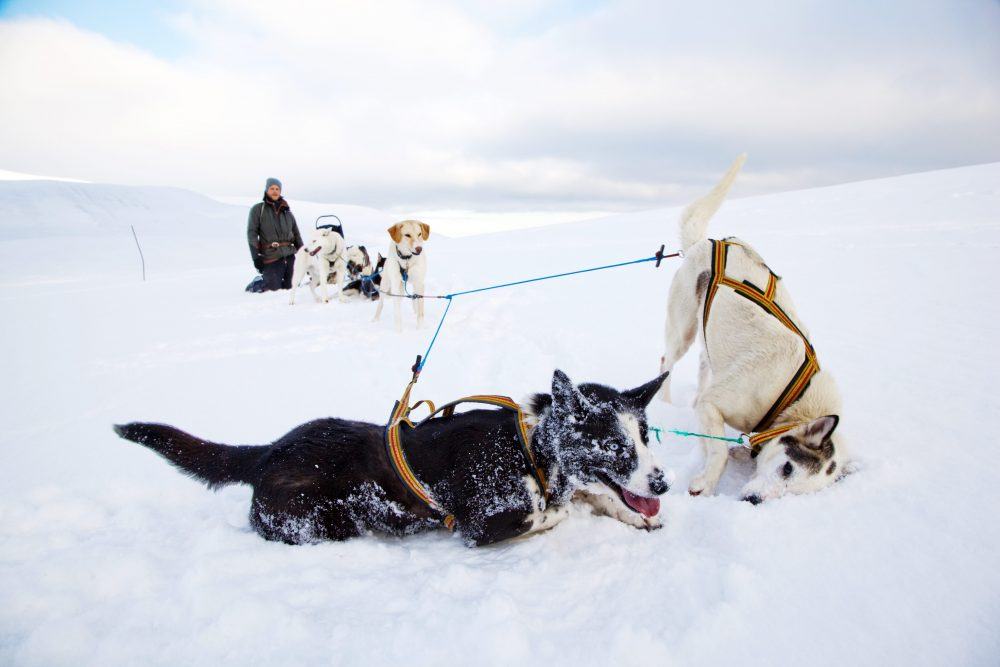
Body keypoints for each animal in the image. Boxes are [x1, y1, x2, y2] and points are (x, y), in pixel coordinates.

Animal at [660, 154, 848, 504]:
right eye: (787, 467)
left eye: (792, 493)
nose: (754, 501)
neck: (791, 399)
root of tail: (707, 241)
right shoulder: (715, 404)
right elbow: (719, 451)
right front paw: (706, 482)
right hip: (682, 329)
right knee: (666, 361)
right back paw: (663, 401)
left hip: (708, 338)